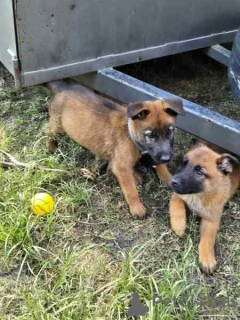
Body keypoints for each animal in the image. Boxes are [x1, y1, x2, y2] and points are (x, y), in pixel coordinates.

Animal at [45, 81, 184, 219]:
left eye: (170, 131)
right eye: (151, 135)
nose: (167, 158)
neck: (131, 135)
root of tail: (64, 87)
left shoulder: (151, 154)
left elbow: (159, 165)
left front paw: (168, 177)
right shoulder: (122, 167)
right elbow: (131, 190)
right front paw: (137, 208)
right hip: (59, 126)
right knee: (48, 130)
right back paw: (51, 147)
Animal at [169, 142, 240, 272]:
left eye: (200, 172)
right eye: (184, 163)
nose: (172, 181)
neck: (199, 194)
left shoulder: (212, 219)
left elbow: (208, 238)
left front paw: (207, 258)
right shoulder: (177, 195)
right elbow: (177, 207)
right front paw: (179, 226)